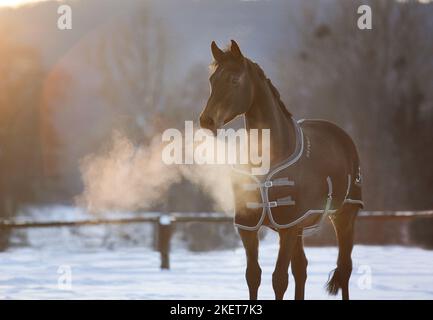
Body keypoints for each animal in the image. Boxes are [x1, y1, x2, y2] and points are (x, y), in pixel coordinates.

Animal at [199, 40, 362, 300]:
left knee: (344, 268)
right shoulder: (249, 227)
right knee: (302, 269)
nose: (207, 121)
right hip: (301, 228)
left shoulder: (287, 228)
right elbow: (253, 276)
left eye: (234, 80)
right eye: (212, 80)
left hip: (344, 215)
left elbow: (279, 279)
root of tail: (341, 134)